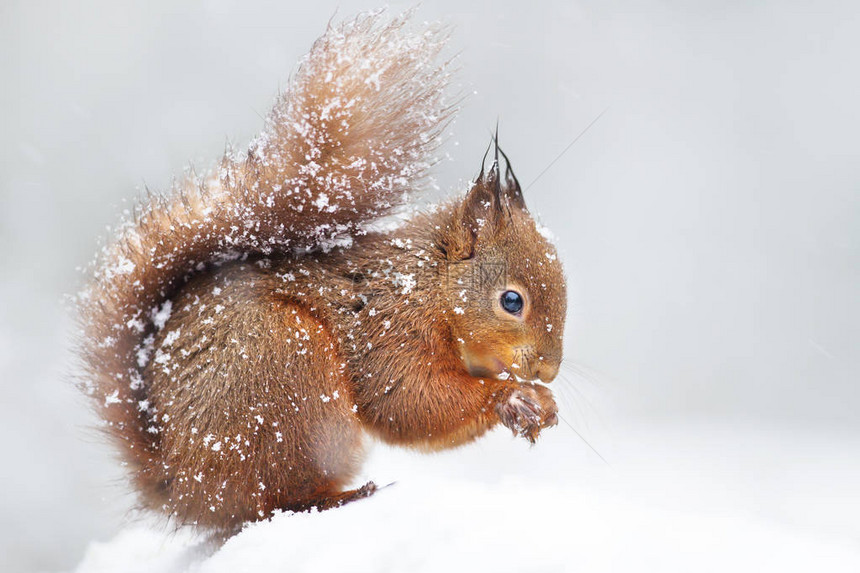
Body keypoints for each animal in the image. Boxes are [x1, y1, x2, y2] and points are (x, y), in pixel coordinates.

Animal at [79, 12, 564, 532]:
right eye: (511, 301)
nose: (549, 371)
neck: (431, 284)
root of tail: (180, 486)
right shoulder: (389, 326)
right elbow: (409, 404)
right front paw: (513, 397)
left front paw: (540, 401)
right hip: (287, 374)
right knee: (274, 502)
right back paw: (341, 497)